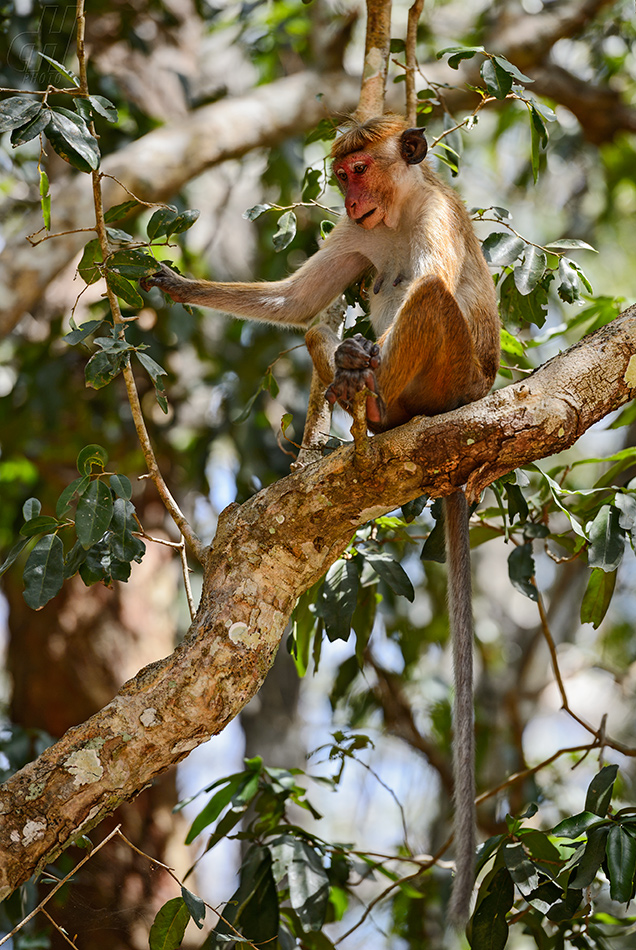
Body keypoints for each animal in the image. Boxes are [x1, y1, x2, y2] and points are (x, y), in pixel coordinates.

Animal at [140, 115, 502, 924]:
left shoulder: (434, 216)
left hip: (457, 381)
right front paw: (171, 284)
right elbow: (296, 301)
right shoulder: (358, 235)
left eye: (359, 168)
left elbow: (428, 281)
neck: (396, 214)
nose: (348, 193)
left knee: (431, 296)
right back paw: (350, 380)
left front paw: (357, 365)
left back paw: (368, 391)